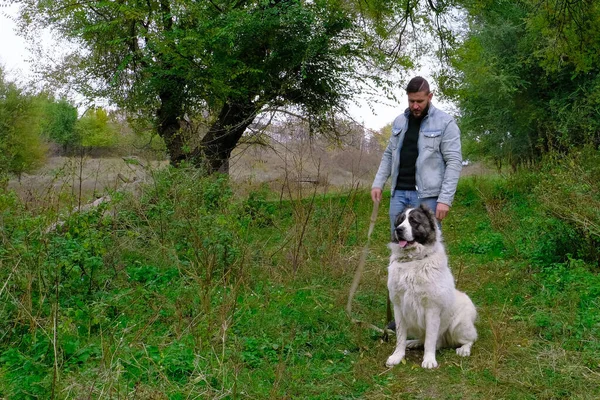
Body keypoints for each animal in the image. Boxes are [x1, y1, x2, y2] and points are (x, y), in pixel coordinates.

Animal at [384, 205, 478, 370]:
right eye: (400, 221)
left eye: (413, 221)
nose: (398, 229)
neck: (413, 261)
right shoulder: (399, 307)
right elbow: (400, 336)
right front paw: (397, 356)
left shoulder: (432, 310)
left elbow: (430, 339)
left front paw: (428, 360)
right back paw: (412, 342)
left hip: (458, 325)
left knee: (471, 338)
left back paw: (464, 349)